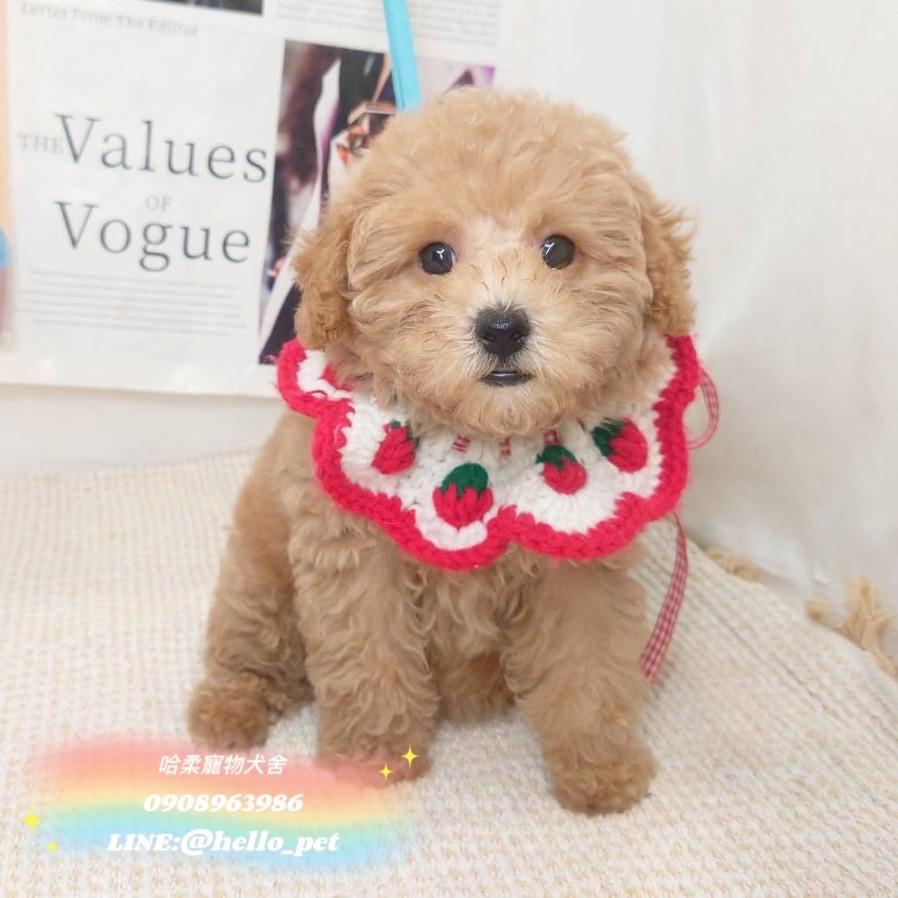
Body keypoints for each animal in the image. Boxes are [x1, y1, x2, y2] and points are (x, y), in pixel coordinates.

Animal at [188, 88, 694, 813]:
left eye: (559, 249)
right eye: (434, 257)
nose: (503, 327)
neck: (486, 437)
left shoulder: (581, 565)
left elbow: (588, 668)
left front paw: (600, 768)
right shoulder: (357, 560)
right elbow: (367, 660)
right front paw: (370, 759)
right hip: (259, 579)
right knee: (250, 649)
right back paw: (228, 711)